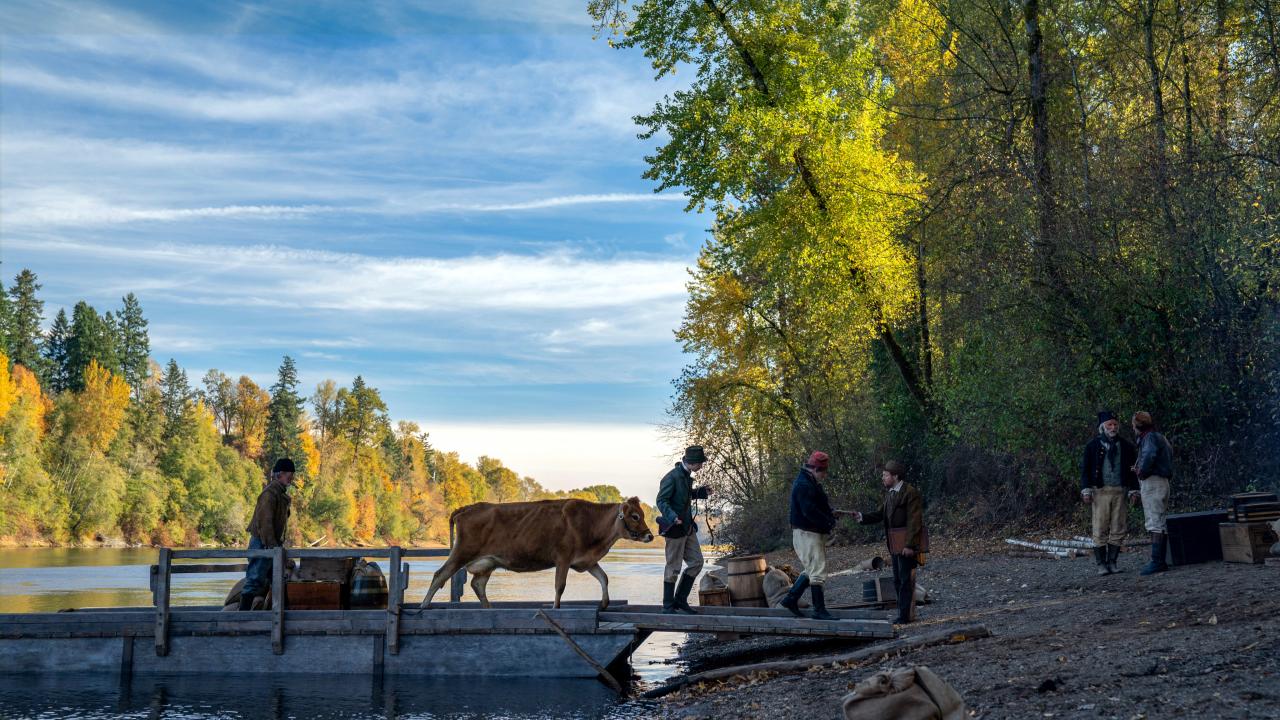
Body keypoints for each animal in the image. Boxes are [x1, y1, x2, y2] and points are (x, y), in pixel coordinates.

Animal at [424, 497, 655, 607]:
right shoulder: (563, 558)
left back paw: (489, 609)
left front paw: (605, 603)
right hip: (462, 552)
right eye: (635, 516)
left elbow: (604, 578)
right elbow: (560, 586)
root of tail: (466, 508)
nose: (650, 536)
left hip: (487, 562)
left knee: (477, 585)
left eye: (642, 514)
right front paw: (555, 608)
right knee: (439, 575)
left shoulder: (586, 561)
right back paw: (423, 607)